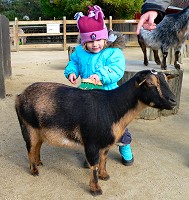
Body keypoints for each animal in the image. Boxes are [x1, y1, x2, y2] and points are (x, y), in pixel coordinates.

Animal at [15, 69, 177, 195]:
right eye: (149, 83)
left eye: (166, 80)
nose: (173, 101)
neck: (111, 107)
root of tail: (19, 96)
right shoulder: (91, 143)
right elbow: (94, 165)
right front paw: (96, 189)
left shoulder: (105, 144)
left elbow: (103, 160)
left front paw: (105, 176)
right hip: (28, 126)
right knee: (30, 148)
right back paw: (34, 170)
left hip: (39, 130)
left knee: (37, 146)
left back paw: (39, 163)